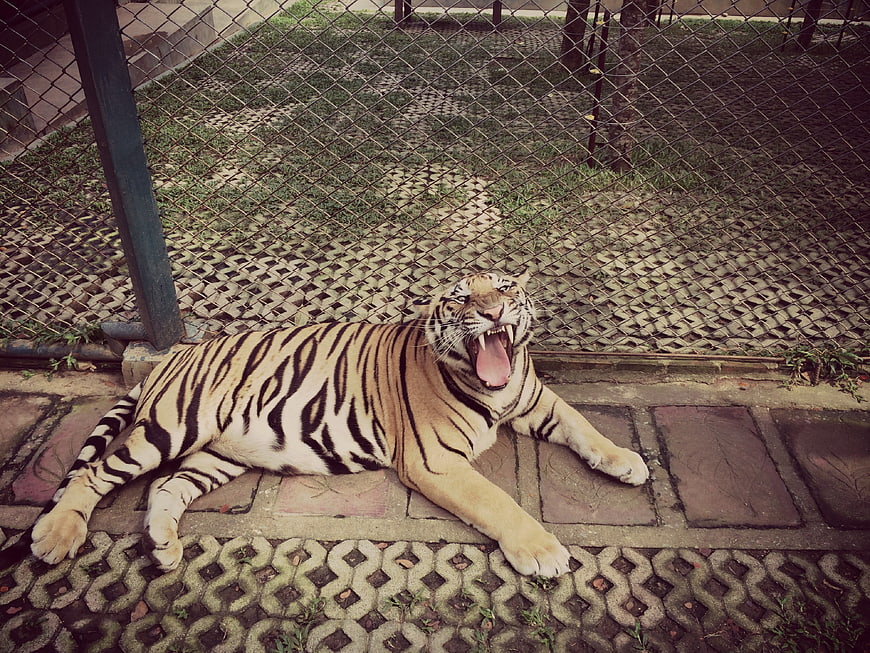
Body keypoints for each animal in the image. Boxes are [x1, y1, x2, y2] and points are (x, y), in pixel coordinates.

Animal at [0, 271, 648, 578]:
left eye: (506, 288)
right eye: (461, 298)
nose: (491, 311)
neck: (498, 386)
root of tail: (173, 355)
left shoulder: (535, 400)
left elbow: (584, 425)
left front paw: (627, 461)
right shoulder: (436, 461)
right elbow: (499, 502)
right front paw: (543, 551)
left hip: (217, 454)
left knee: (165, 487)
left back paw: (163, 547)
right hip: (172, 426)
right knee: (95, 476)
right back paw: (55, 535)